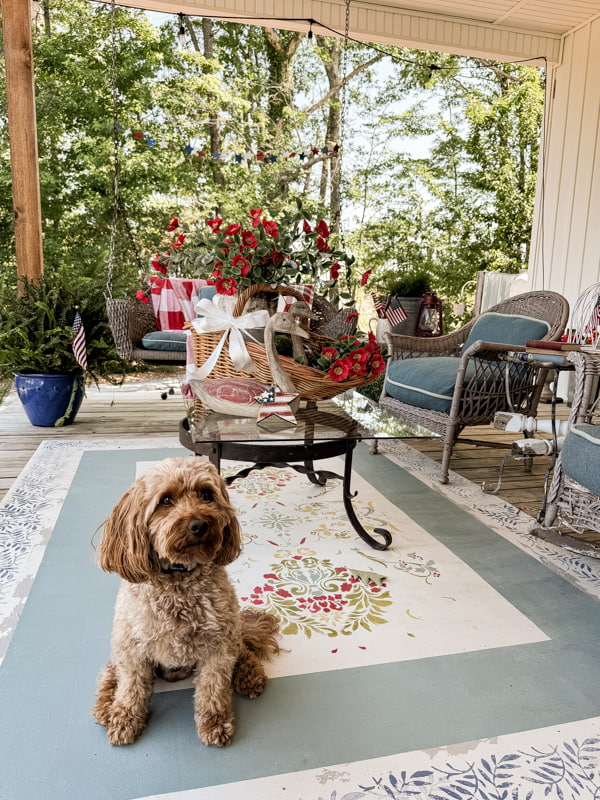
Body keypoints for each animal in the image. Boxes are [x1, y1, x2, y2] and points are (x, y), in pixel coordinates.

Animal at [92, 460, 280, 748]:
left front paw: (215, 723)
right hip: (120, 642)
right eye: (166, 500)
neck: (179, 577)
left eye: (206, 495)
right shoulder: (132, 647)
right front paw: (125, 719)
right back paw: (106, 704)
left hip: (232, 631)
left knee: (243, 647)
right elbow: (131, 688)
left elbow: (213, 689)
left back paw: (250, 675)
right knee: (112, 670)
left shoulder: (219, 647)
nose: (198, 524)